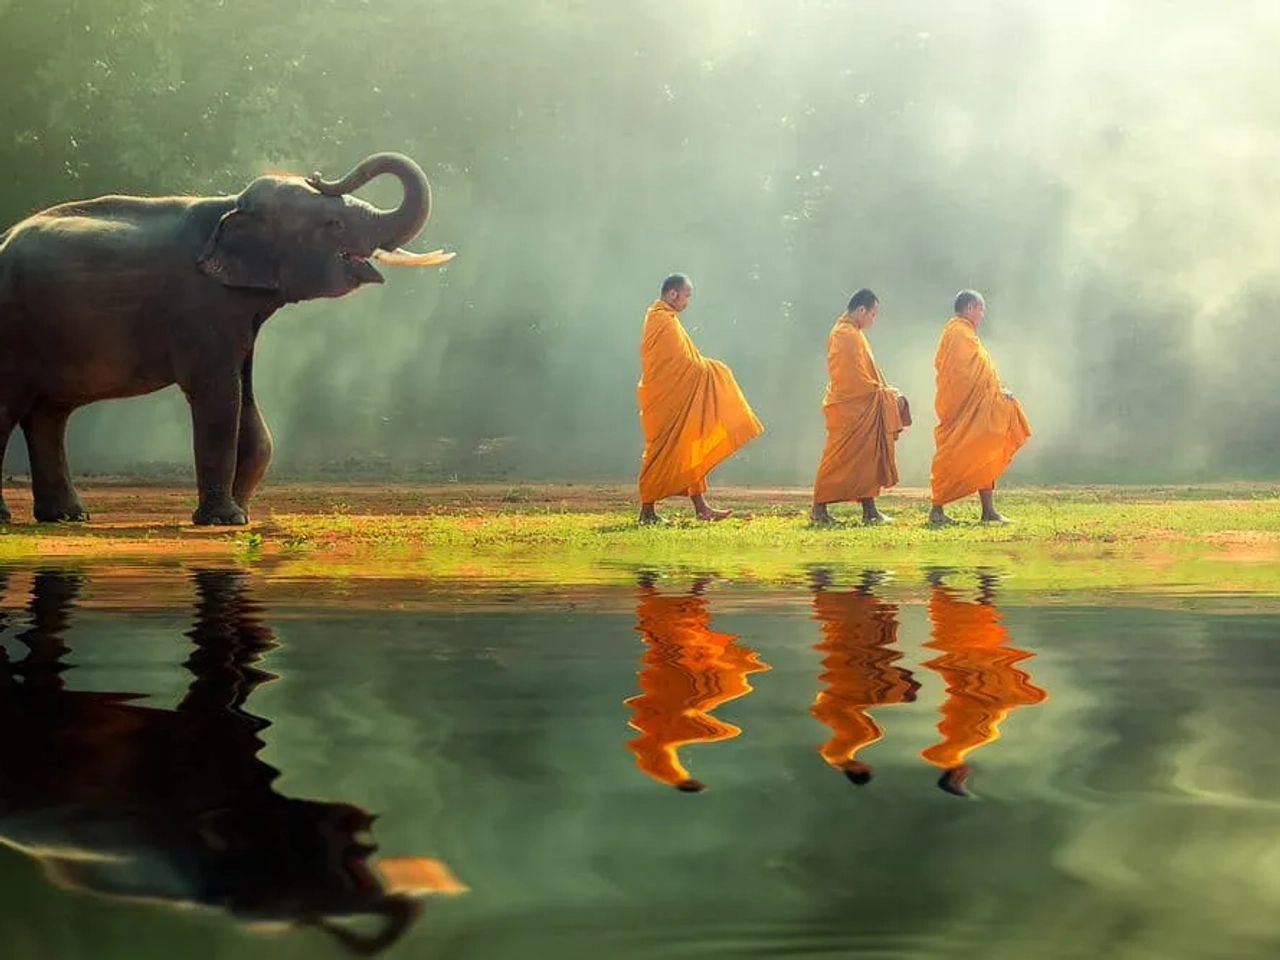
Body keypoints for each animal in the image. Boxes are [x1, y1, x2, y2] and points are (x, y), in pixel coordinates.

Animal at [0, 152, 453, 526]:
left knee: (48, 415)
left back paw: (67, 516)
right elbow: (219, 397)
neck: (229, 204)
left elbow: (247, 403)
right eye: (334, 225)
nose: (318, 174)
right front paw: (225, 520)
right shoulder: (201, 308)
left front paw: (242, 514)